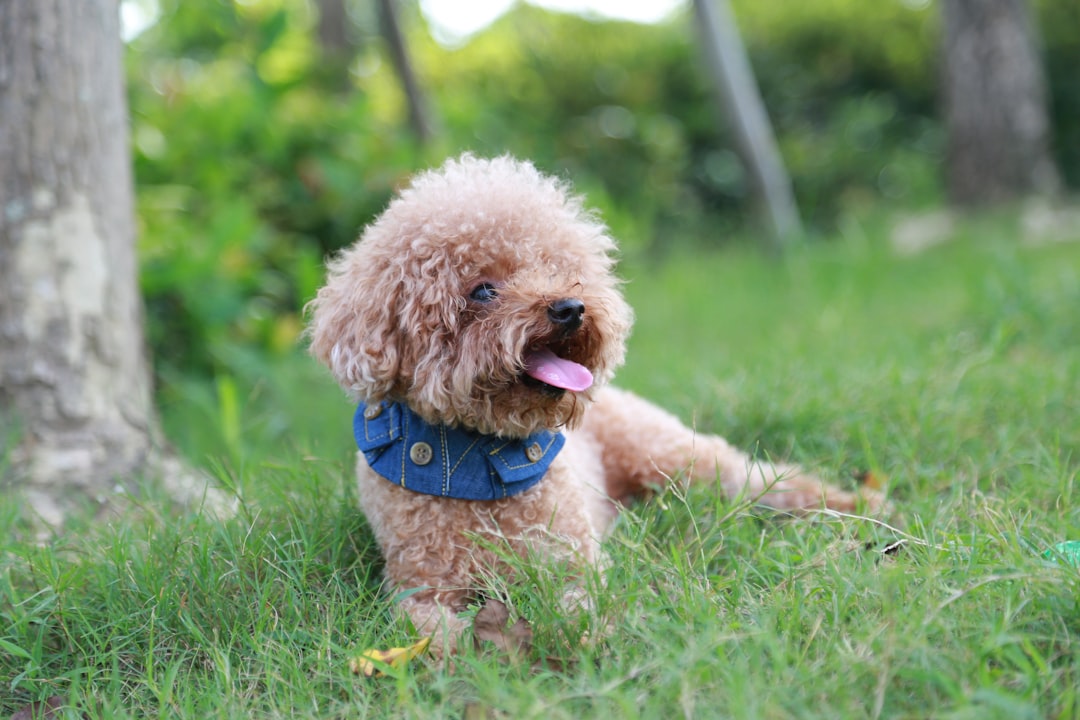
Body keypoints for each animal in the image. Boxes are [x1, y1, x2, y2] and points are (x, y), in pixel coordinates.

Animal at [308, 153, 881, 660]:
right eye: (483, 290)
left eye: (556, 266)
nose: (570, 308)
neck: (478, 456)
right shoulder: (419, 586)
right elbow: (433, 633)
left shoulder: (572, 563)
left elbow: (578, 607)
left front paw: (575, 640)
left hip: (678, 457)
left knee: (763, 481)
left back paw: (859, 505)